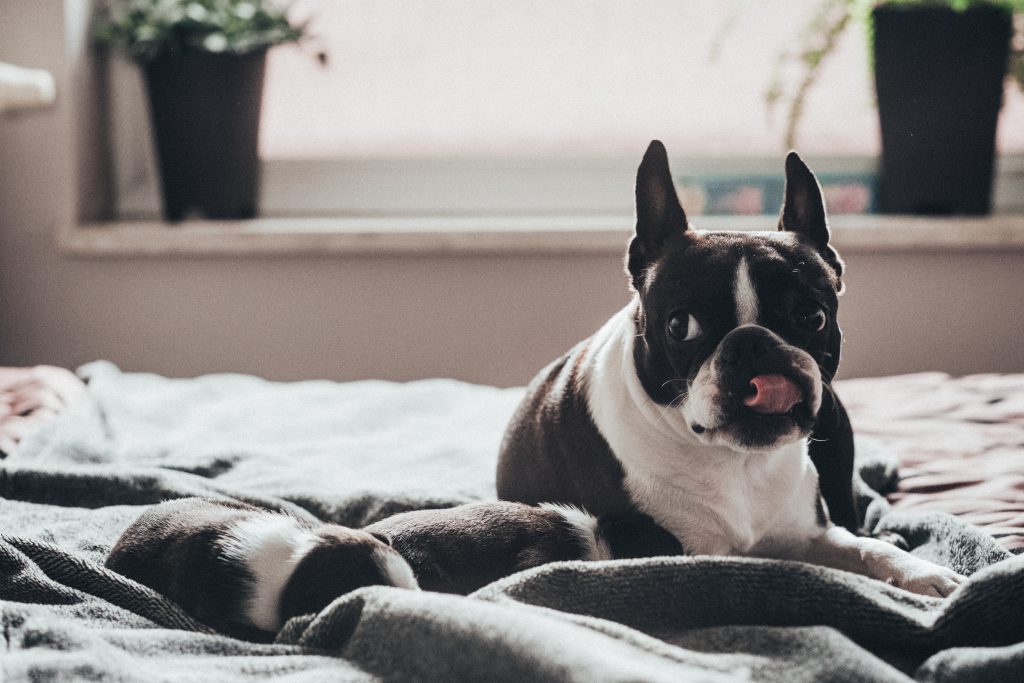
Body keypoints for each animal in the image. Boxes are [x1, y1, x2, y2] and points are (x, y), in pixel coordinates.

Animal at [497, 141, 966, 593]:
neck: (737, 461)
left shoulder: (812, 535)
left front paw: (922, 572)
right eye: (680, 325)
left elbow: (863, 547)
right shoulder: (673, 550)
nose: (753, 342)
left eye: (812, 316)